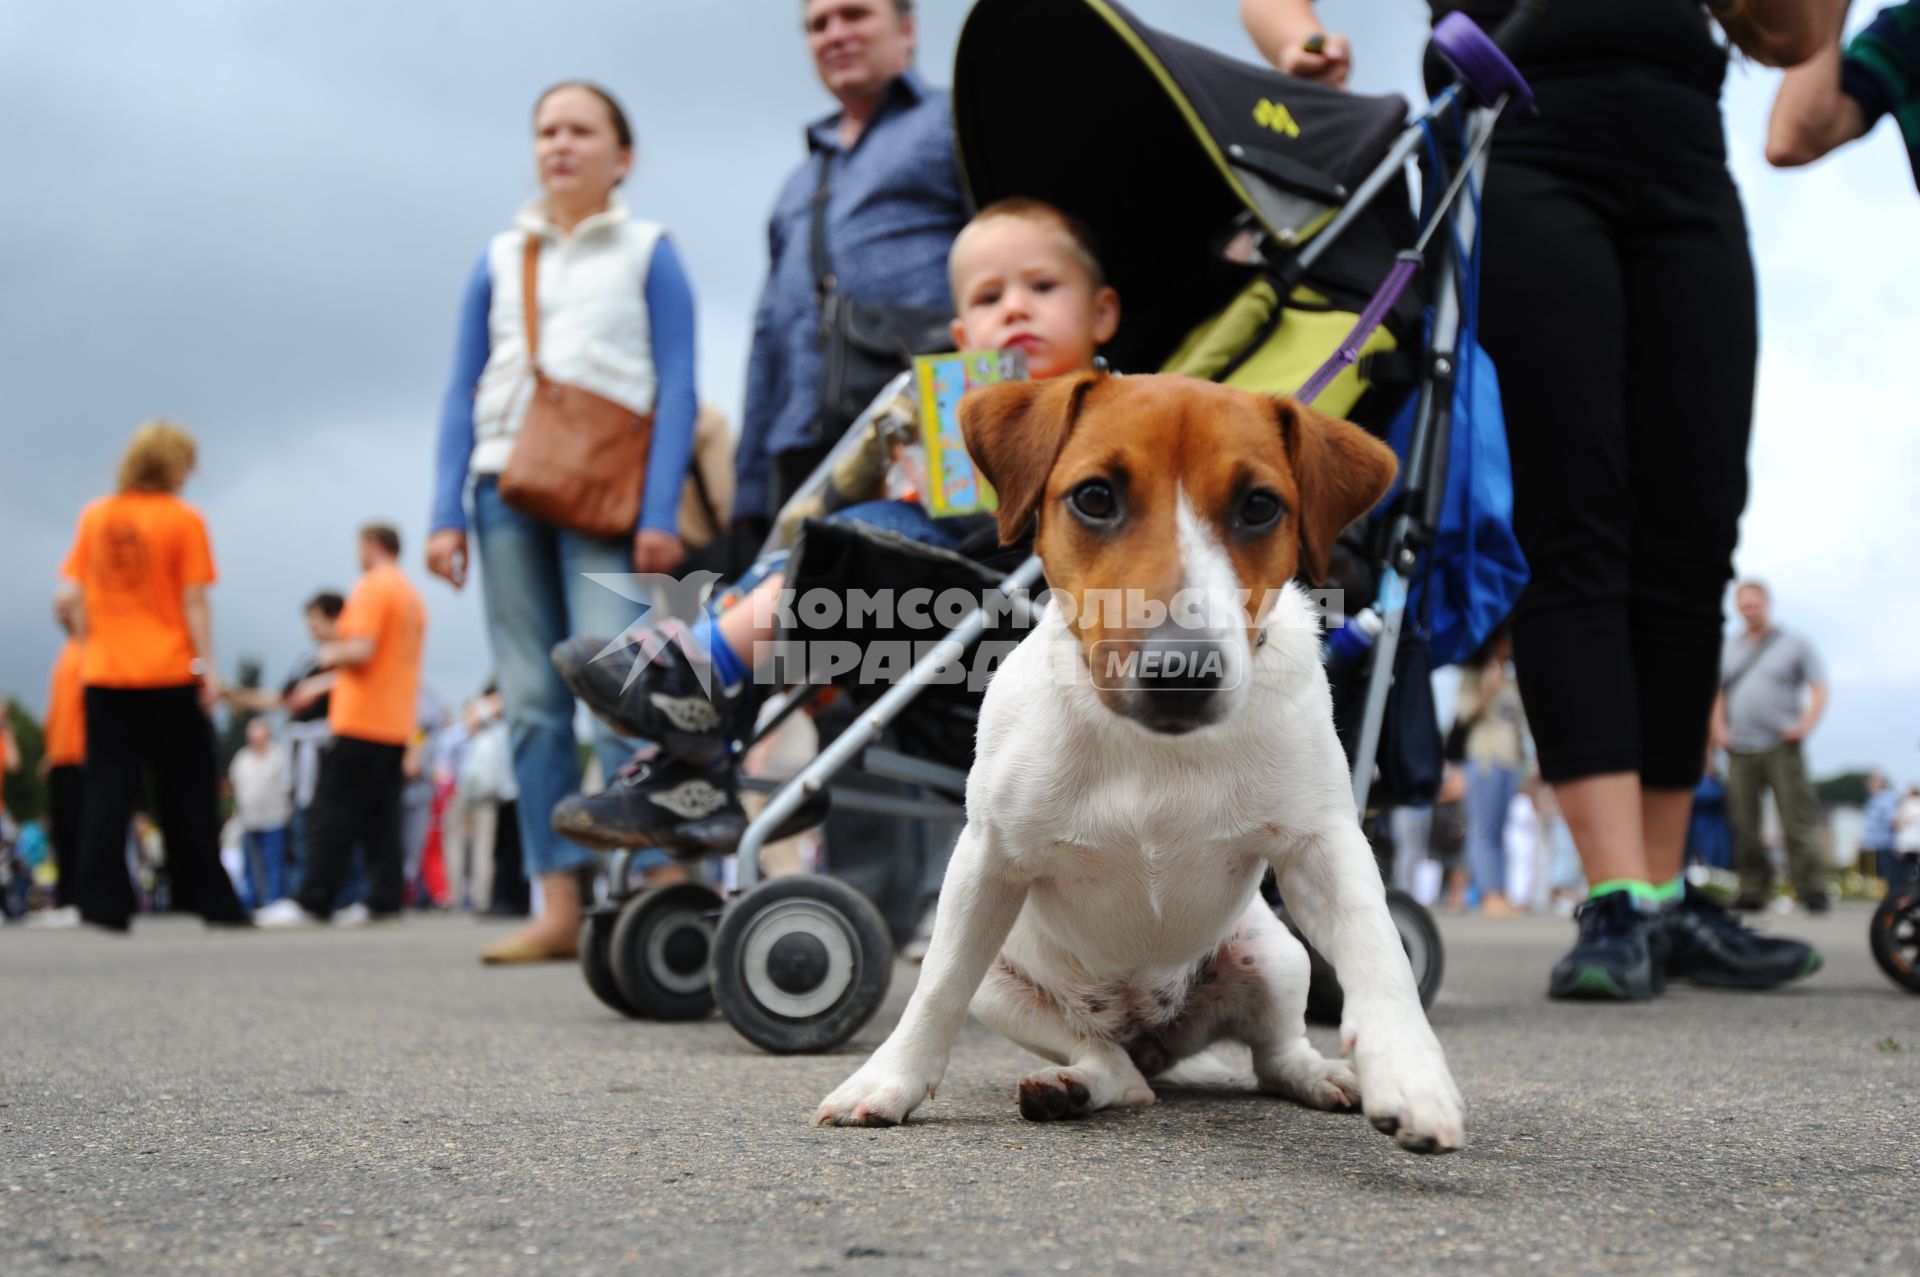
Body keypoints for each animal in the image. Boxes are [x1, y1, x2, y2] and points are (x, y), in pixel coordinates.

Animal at [814, 370, 1466, 1152]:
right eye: (1095, 497)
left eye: (1259, 506)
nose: (1182, 668)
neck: (1155, 746)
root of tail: (1158, 1038)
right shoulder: (986, 859)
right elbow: (937, 984)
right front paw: (889, 1080)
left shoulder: (1324, 844)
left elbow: (1381, 949)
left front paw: (1412, 1076)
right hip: (1006, 989)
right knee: (1113, 1066)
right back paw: (1073, 1085)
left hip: (1275, 954)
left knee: (1275, 1054)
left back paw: (1324, 1074)